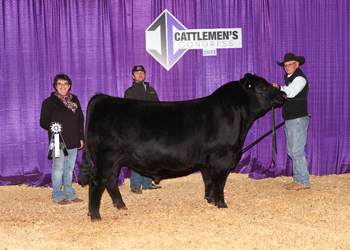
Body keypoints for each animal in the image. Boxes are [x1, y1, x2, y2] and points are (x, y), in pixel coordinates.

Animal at [78, 73, 286, 221]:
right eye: (263, 87)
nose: (283, 94)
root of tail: (102, 98)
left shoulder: (207, 161)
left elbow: (208, 181)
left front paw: (209, 200)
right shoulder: (223, 159)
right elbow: (219, 183)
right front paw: (221, 204)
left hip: (116, 161)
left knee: (111, 182)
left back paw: (121, 205)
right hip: (105, 159)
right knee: (97, 182)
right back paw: (95, 215)